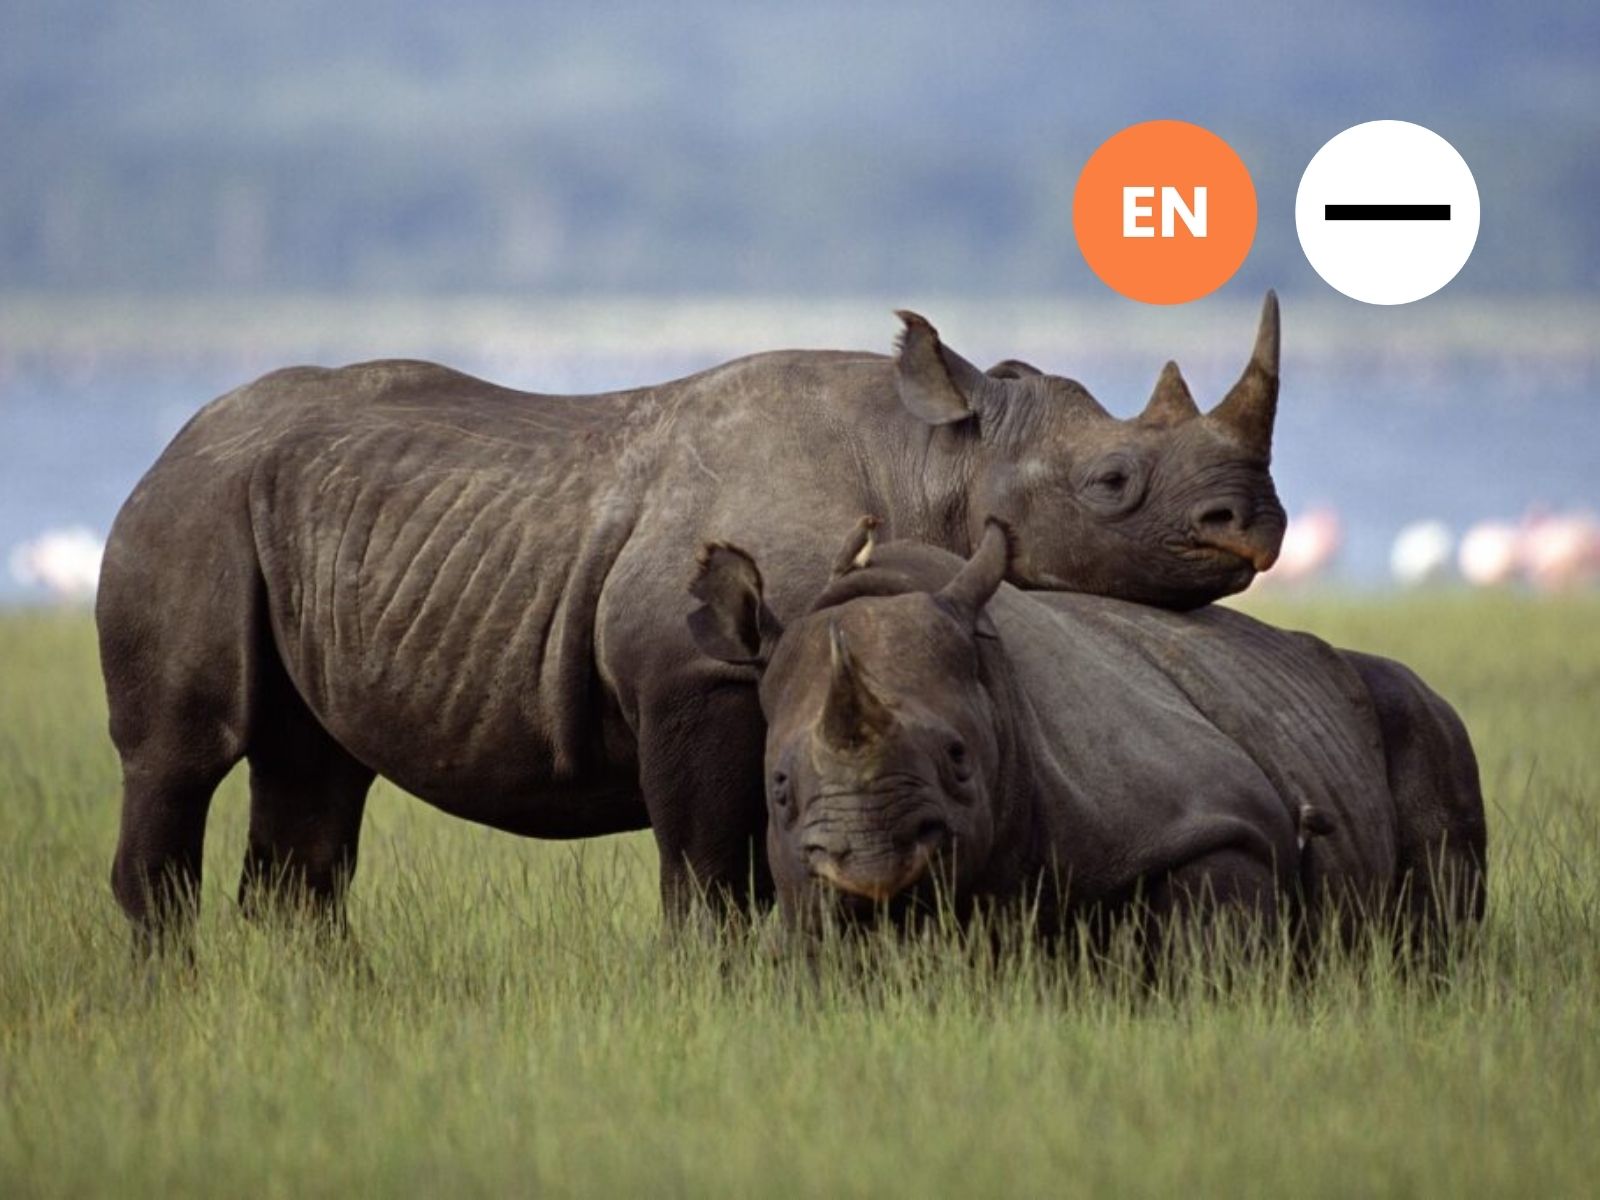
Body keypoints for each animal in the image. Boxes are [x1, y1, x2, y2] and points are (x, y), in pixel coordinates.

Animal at [99, 295, 1287, 942]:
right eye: (1114, 484)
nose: (1257, 526)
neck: (934, 459)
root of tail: (172, 438)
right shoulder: (692, 676)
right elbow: (710, 874)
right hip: (191, 507)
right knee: (182, 755)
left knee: (315, 773)